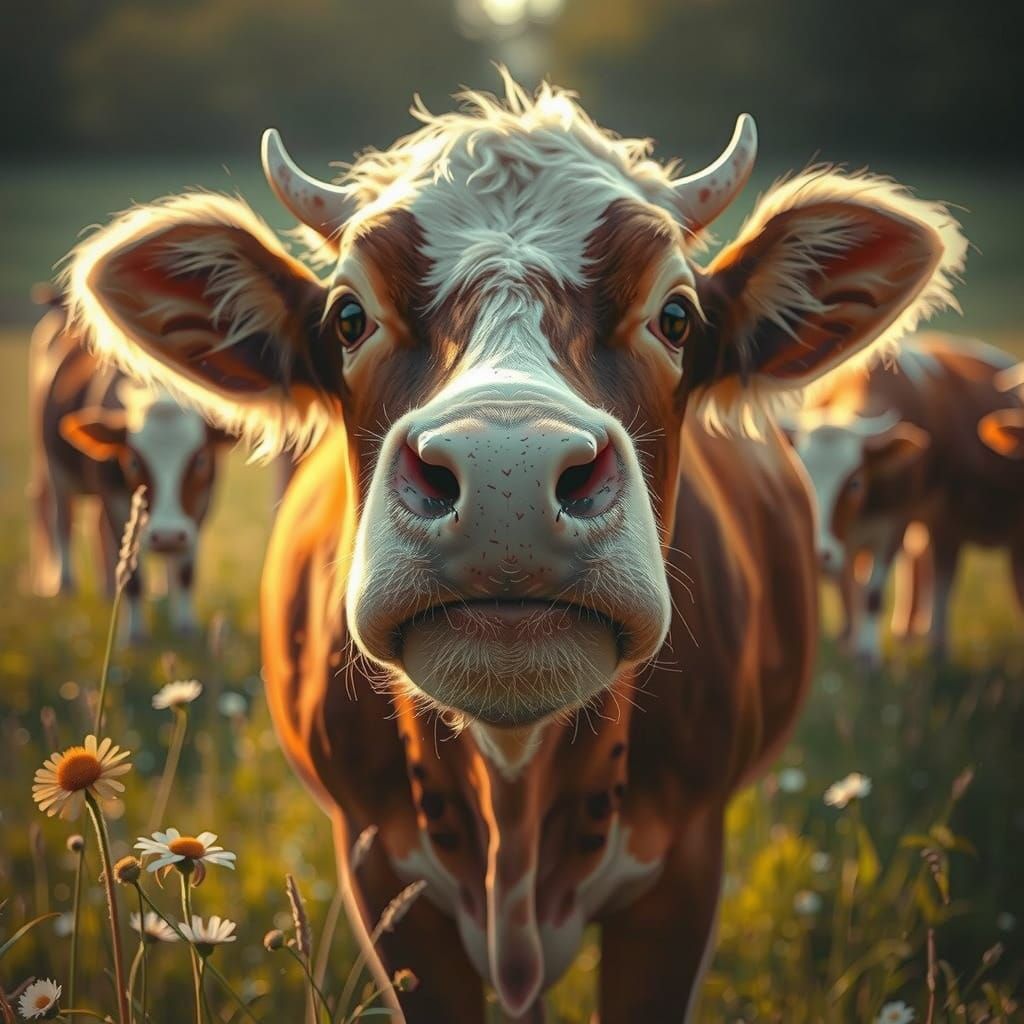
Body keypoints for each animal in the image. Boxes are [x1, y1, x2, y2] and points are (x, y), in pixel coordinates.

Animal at [28, 287, 232, 639]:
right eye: (134, 462)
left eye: (202, 459)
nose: (167, 536)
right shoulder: (116, 499)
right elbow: (134, 574)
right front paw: (134, 631)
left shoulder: (201, 505)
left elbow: (185, 570)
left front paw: (185, 624)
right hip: (53, 466)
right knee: (60, 517)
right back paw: (65, 582)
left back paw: (116, 590)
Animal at [63, 76, 965, 1021]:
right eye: (348, 317)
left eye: (676, 315)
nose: (508, 469)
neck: (515, 792)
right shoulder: (381, 871)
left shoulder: (683, 870)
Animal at [790, 333, 1024, 666]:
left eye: (855, 483)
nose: (819, 554)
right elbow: (850, 586)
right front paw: (850, 643)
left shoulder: (896, 523)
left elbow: (873, 593)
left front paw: (868, 656)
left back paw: (934, 646)